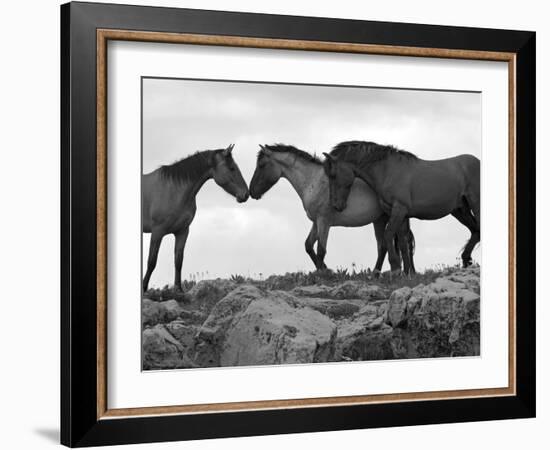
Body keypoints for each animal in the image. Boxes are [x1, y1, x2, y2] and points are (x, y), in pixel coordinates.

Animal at [248, 144, 416, 272]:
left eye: (261, 165)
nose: (251, 191)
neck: (313, 181)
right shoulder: (316, 222)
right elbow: (309, 246)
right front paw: (324, 269)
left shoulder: (324, 221)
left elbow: (321, 249)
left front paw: (323, 273)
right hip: (381, 220)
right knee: (389, 245)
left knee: (397, 243)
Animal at [326, 141, 480, 274]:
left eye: (333, 175)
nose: (336, 205)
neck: (388, 170)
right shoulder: (400, 214)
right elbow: (402, 242)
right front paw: (407, 272)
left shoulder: (399, 209)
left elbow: (389, 234)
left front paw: (395, 268)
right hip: (460, 211)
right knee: (475, 231)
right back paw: (466, 260)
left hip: (475, 205)